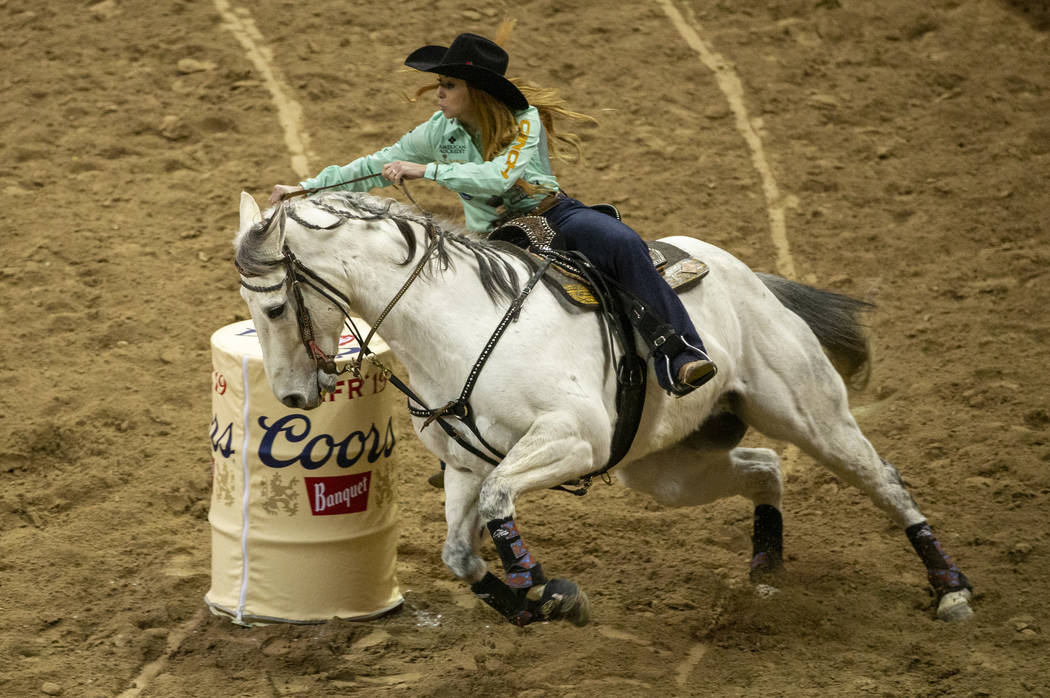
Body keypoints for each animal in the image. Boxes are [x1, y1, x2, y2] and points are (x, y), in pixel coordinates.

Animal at [234, 191, 970, 625]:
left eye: (273, 308)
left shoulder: (573, 439)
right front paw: (522, 604)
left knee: (883, 480)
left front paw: (551, 591)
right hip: (668, 469)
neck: (464, 324)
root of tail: (748, 277)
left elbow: (501, 504)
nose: (294, 396)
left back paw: (950, 587)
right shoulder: (466, 466)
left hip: (810, 413)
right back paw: (765, 566)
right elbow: (458, 553)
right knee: (763, 465)